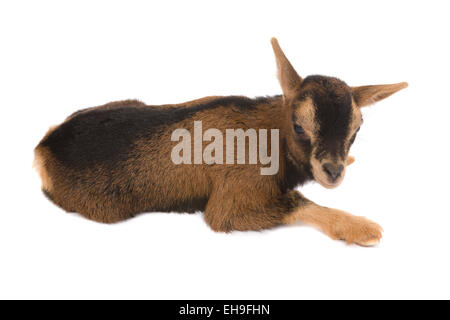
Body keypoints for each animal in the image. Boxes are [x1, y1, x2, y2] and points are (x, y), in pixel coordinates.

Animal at [35, 38, 408, 246]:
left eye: (357, 128)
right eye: (299, 126)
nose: (333, 171)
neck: (269, 135)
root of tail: (44, 148)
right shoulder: (232, 202)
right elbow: (296, 201)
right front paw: (361, 228)